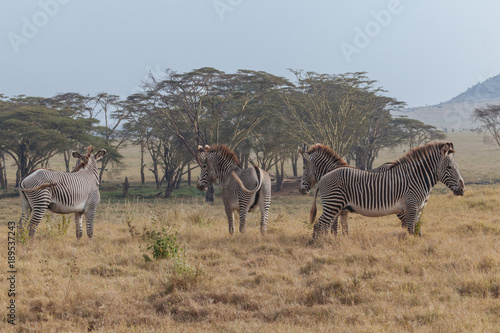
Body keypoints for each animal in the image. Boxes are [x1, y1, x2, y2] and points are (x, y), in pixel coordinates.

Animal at [310, 140, 466, 239]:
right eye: (449, 167)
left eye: (456, 166)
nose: (462, 189)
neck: (416, 178)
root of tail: (323, 178)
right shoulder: (411, 207)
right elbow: (411, 230)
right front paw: (411, 247)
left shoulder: (418, 208)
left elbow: (417, 230)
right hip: (333, 203)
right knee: (320, 225)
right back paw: (320, 246)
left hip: (335, 206)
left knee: (325, 225)